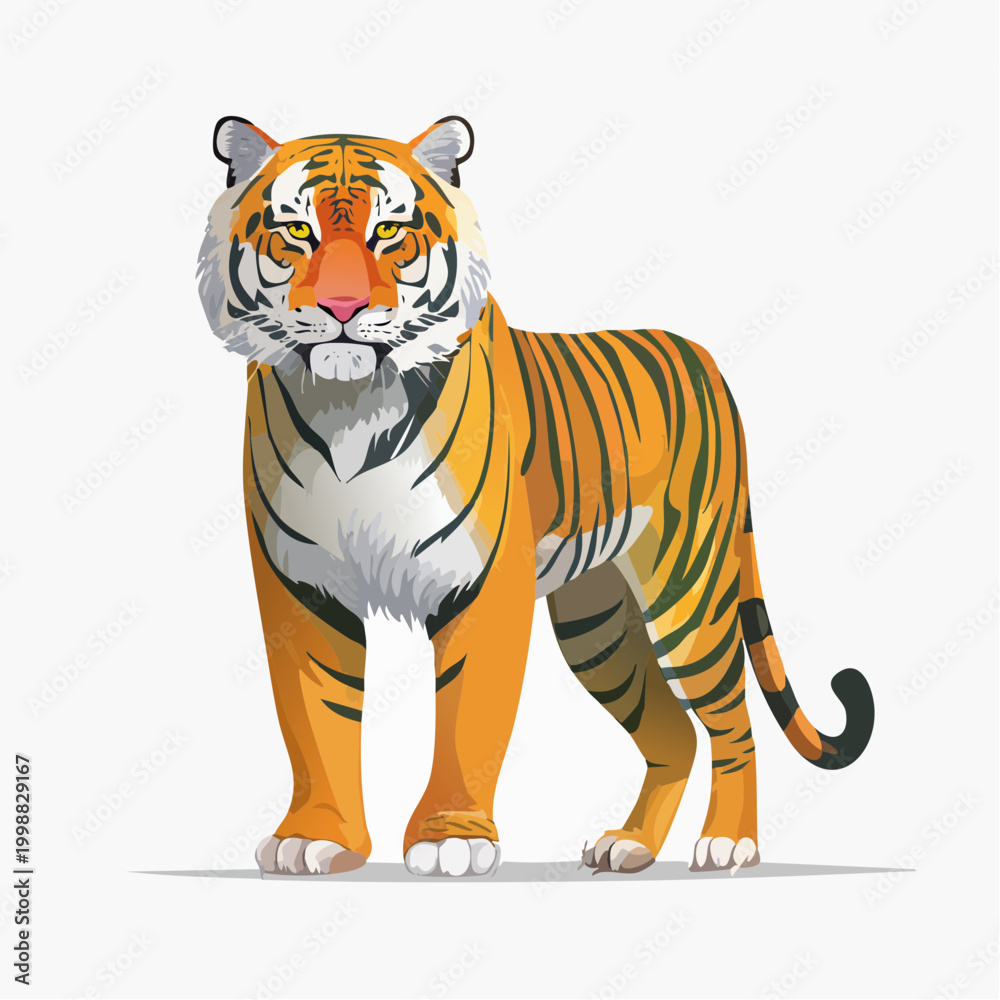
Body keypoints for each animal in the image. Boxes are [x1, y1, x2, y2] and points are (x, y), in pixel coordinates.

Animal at [197, 115, 874, 878]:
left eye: (390, 232)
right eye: (297, 232)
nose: (344, 308)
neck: (351, 406)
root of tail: (705, 359)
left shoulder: (483, 584)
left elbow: (467, 718)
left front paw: (452, 839)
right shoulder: (302, 587)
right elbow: (316, 722)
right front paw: (319, 837)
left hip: (688, 593)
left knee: (733, 722)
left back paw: (731, 844)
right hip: (598, 624)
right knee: (674, 733)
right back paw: (629, 846)